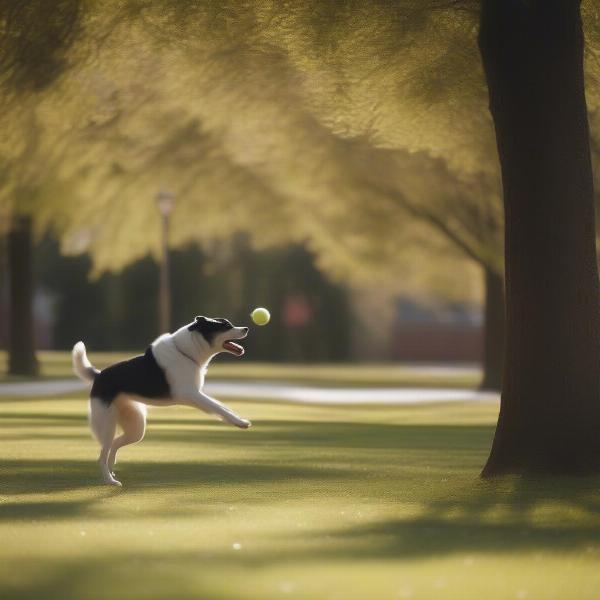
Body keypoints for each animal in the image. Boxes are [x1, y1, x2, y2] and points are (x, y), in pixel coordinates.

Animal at [72, 316, 251, 486]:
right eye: (226, 326)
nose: (246, 328)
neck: (187, 352)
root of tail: (99, 375)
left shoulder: (196, 394)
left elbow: (222, 407)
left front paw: (239, 420)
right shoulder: (191, 394)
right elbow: (218, 408)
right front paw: (240, 423)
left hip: (136, 428)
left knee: (114, 445)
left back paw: (112, 468)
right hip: (107, 425)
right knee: (102, 455)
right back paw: (110, 481)